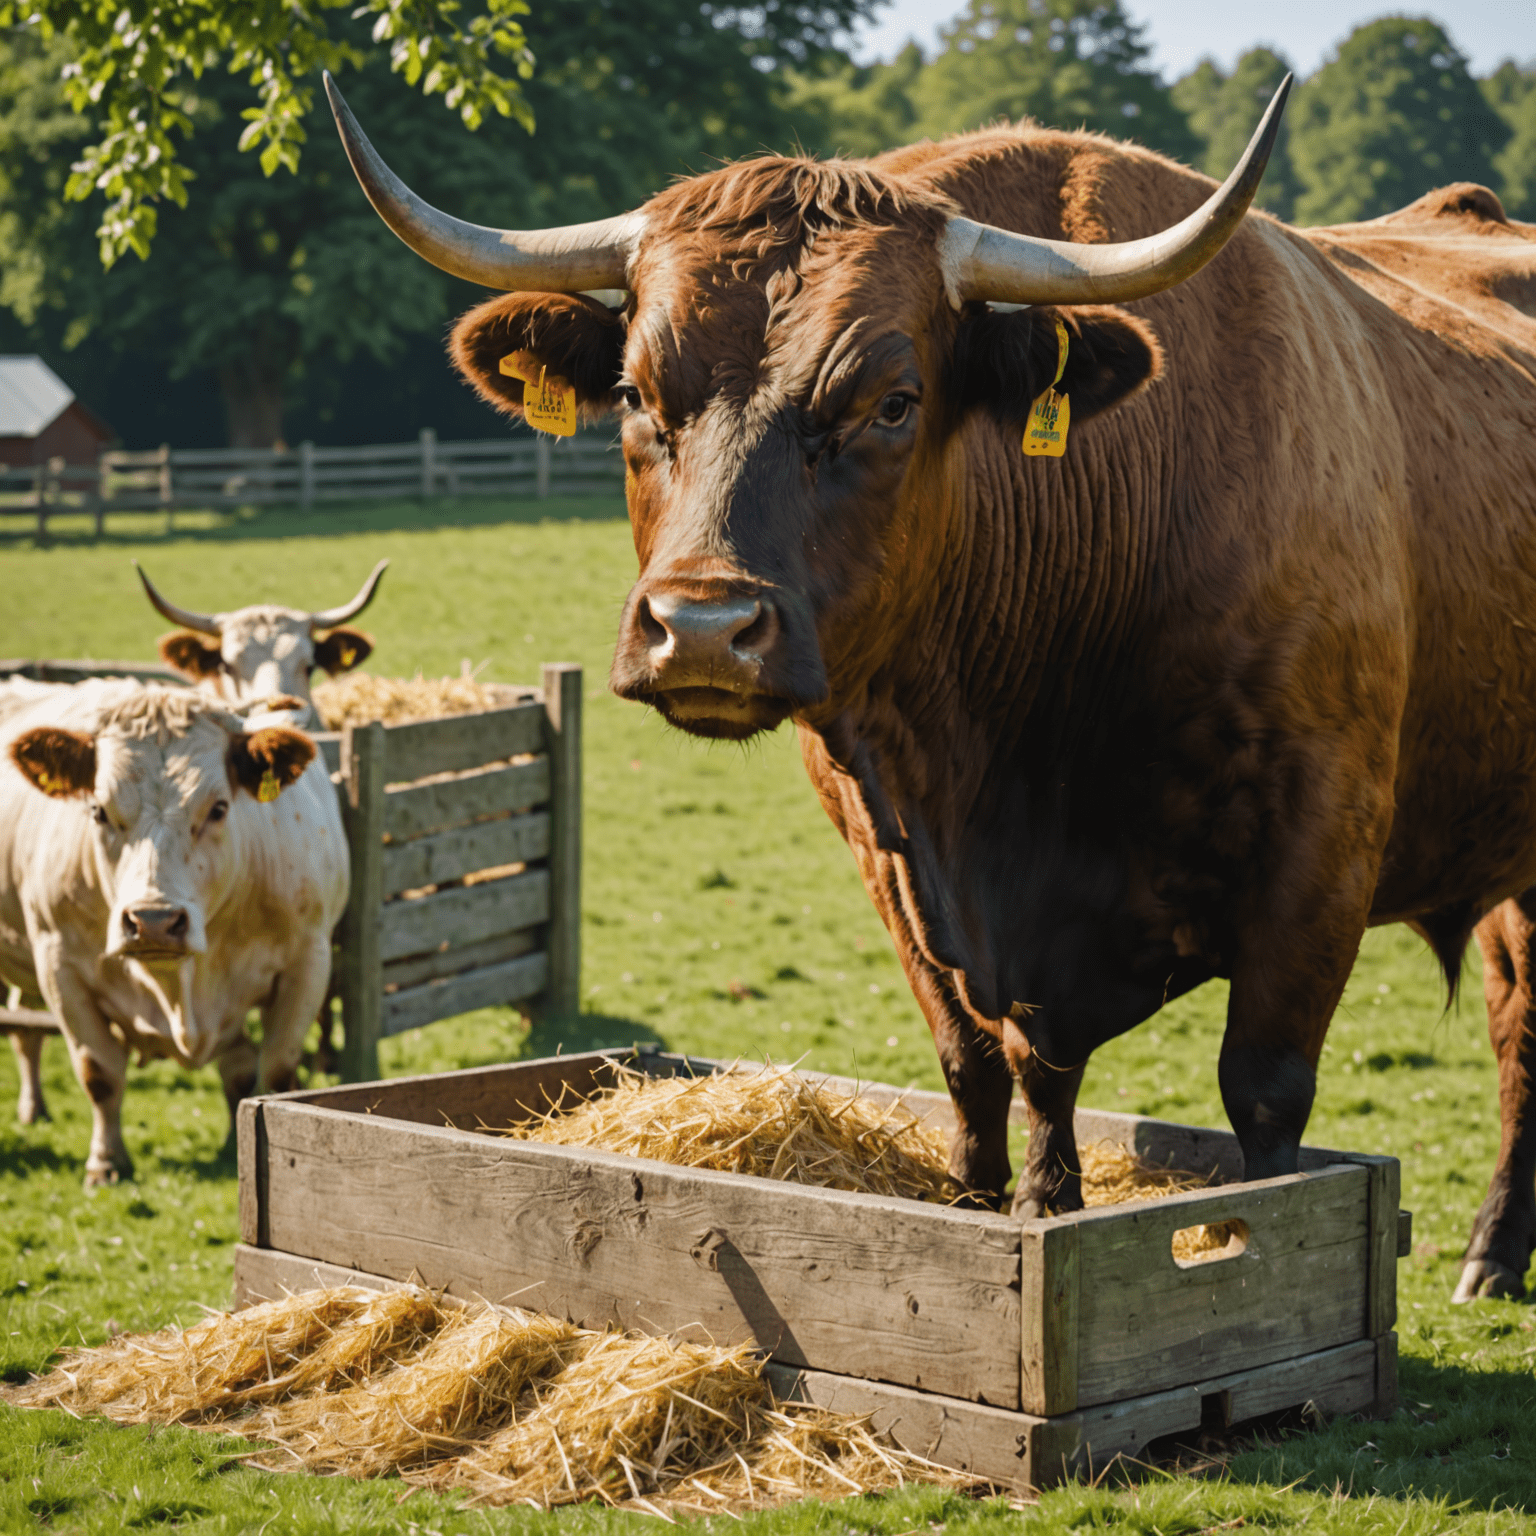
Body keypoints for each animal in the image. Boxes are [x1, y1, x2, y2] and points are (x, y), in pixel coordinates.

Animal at [0, 678, 348, 1179]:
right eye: (99, 811)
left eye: (219, 808)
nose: (154, 922)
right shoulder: (59, 965)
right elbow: (99, 1073)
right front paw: (106, 1162)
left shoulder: (308, 960)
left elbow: (274, 1071)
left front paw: (238, 1145)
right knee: (25, 1030)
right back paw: (33, 1108)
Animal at [330, 72, 1536, 1296]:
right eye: (631, 391)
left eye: (893, 402)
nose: (704, 630)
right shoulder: (897, 857)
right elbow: (991, 1072)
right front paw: (1021, 1212)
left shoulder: (1320, 852)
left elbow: (1265, 1102)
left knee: (1520, 1034)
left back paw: (1489, 1253)